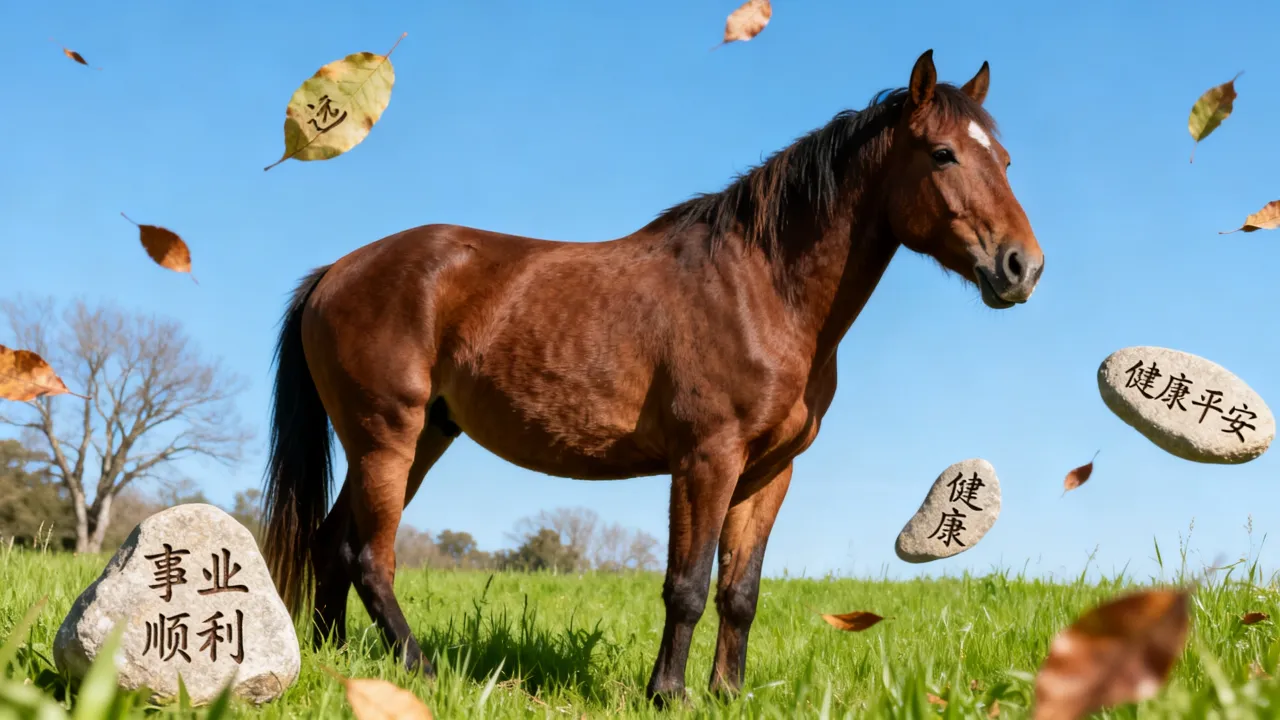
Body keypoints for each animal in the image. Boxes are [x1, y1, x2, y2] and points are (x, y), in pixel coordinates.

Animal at [261, 49, 1043, 705]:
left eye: (1006, 158)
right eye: (942, 153)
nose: (1022, 267)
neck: (761, 287)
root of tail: (336, 272)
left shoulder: (769, 473)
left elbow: (740, 592)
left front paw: (728, 693)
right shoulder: (706, 459)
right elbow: (688, 585)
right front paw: (668, 693)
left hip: (420, 438)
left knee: (333, 546)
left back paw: (342, 668)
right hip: (386, 439)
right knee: (370, 557)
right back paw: (420, 671)